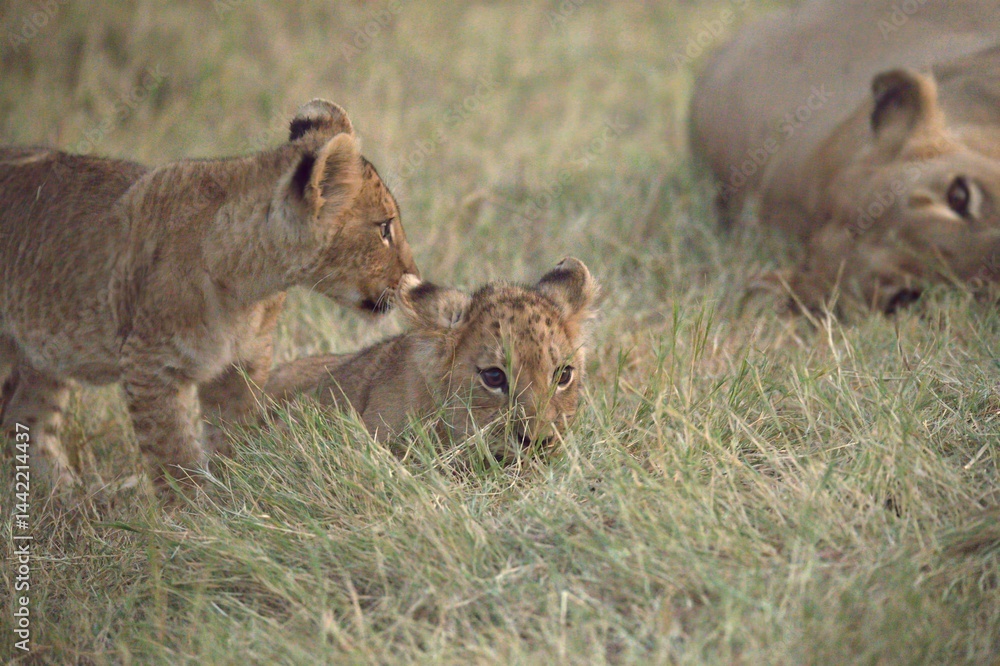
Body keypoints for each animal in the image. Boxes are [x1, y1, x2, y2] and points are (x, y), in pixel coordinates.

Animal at [0, 99, 418, 491]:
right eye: (384, 228)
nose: (412, 276)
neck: (248, 285)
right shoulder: (150, 365)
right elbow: (174, 457)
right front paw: (192, 514)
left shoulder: (243, 364)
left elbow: (232, 438)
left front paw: (234, 497)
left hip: (42, 359)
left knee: (24, 420)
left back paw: (69, 496)